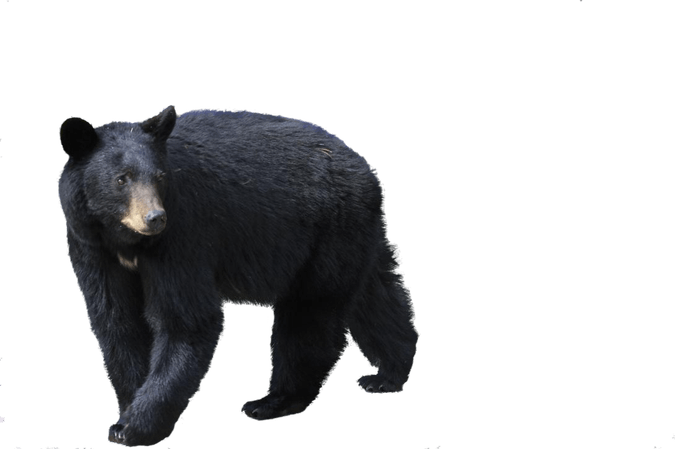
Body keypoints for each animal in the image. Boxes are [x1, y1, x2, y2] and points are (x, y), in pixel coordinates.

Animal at [56, 105, 420, 447]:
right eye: (122, 178)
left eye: (159, 177)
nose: (155, 218)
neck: (126, 240)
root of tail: (366, 168)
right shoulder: (90, 245)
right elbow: (116, 319)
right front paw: (126, 409)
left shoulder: (183, 233)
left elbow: (186, 321)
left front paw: (135, 426)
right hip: (357, 234)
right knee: (376, 295)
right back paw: (389, 375)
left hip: (327, 232)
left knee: (309, 315)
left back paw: (273, 401)